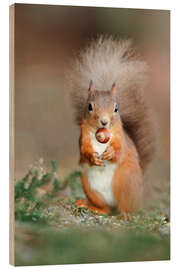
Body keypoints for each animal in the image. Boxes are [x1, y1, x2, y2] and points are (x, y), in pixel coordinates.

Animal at [68, 36, 156, 217]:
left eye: (116, 108)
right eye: (90, 106)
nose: (104, 121)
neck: (100, 135)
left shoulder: (121, 138)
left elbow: (119, 151)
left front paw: (110, 153)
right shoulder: (83, 136)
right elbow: (84, 151)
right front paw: (92, 157)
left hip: (125, 181)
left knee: (125, 208)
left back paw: (125, 215)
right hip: (88, 184)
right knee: (106, 209)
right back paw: (91, 206)